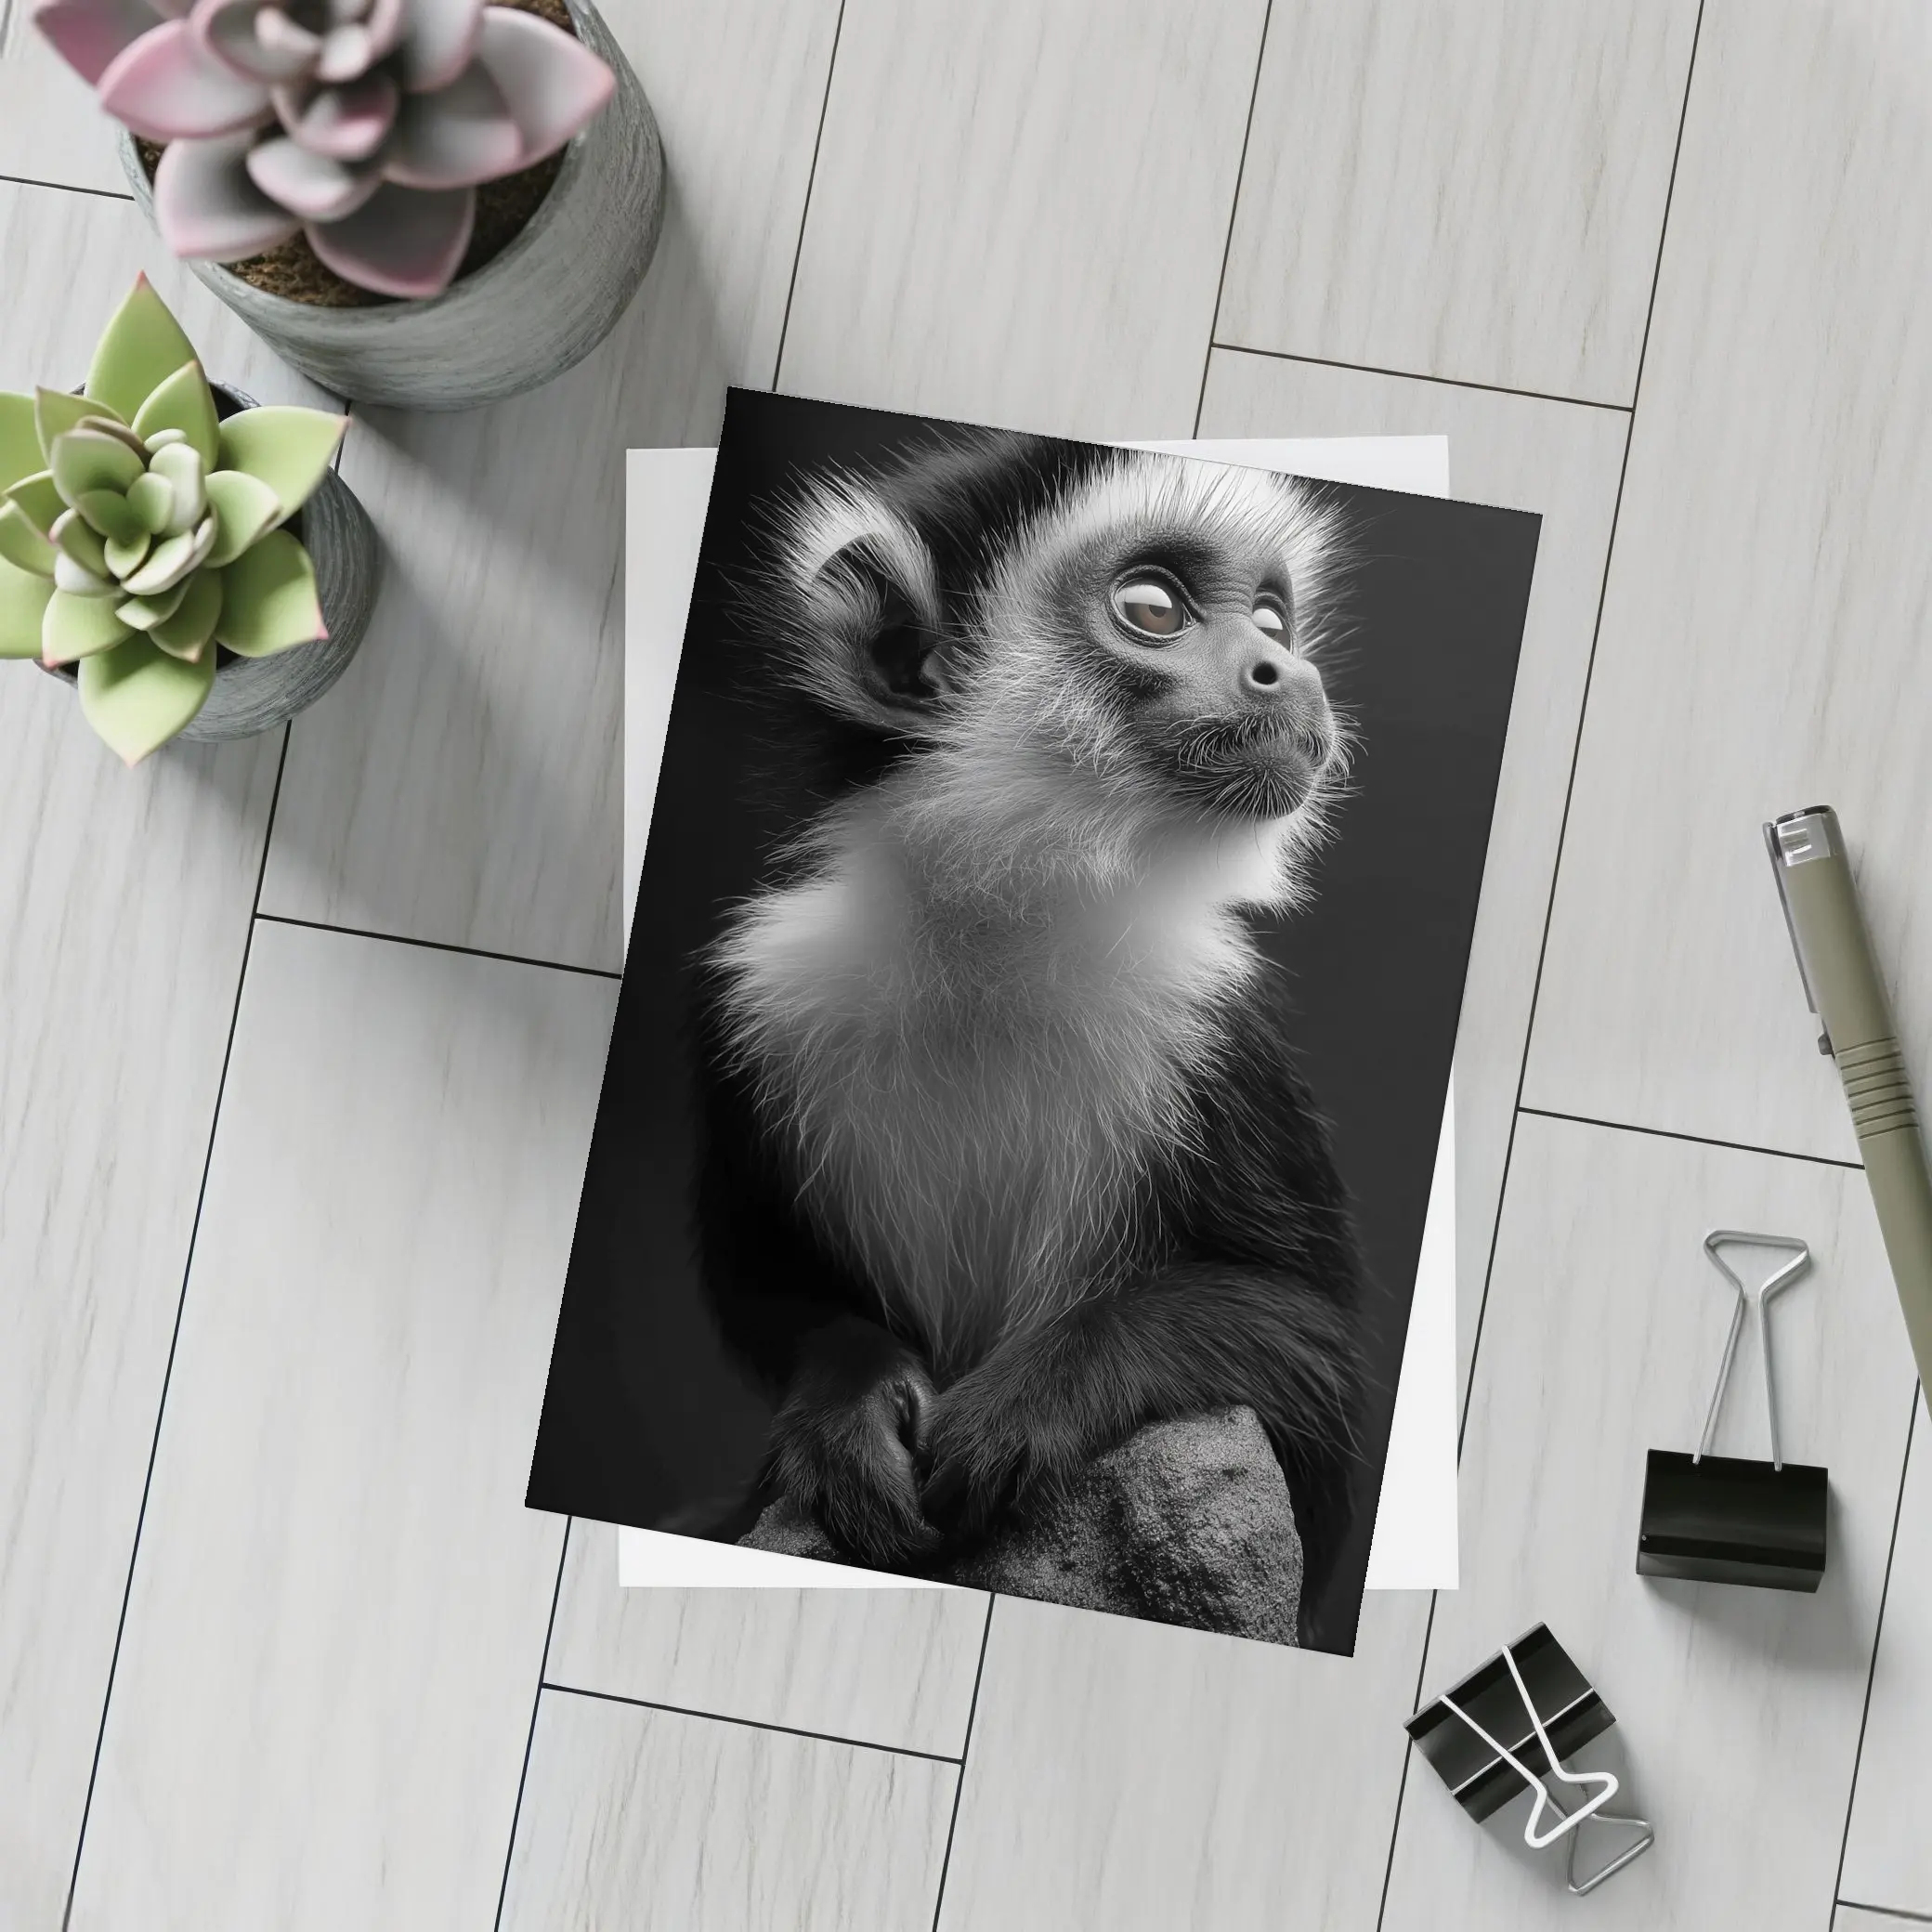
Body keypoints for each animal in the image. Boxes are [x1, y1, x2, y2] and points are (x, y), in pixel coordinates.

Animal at [691, 429, 1368, 1643]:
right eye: (1153, 608)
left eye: (1273, 621)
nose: (1287, 672)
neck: (996, 930)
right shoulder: (760, 996)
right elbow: (770, 1292)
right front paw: (848, 1399)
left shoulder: (1213, 1024)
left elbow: (1321, 1397)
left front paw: (1034, 1396)